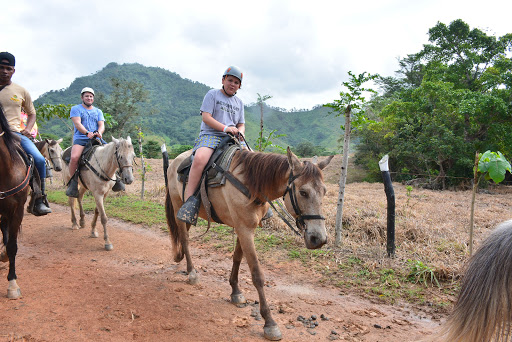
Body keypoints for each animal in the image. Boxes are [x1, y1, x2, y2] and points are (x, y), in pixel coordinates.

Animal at [163, 146, 332, 340]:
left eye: (324, 191)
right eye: (303, 192)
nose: (319, 239)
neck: (253, 185)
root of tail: (175, 162)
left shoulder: (243, 228)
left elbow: (237, 257)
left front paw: (235, 292)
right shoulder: (244, 229)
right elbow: (257, 275)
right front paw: (269, 322)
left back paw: (180, 257)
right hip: (178, 206)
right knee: (185, 238)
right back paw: (192, 272)